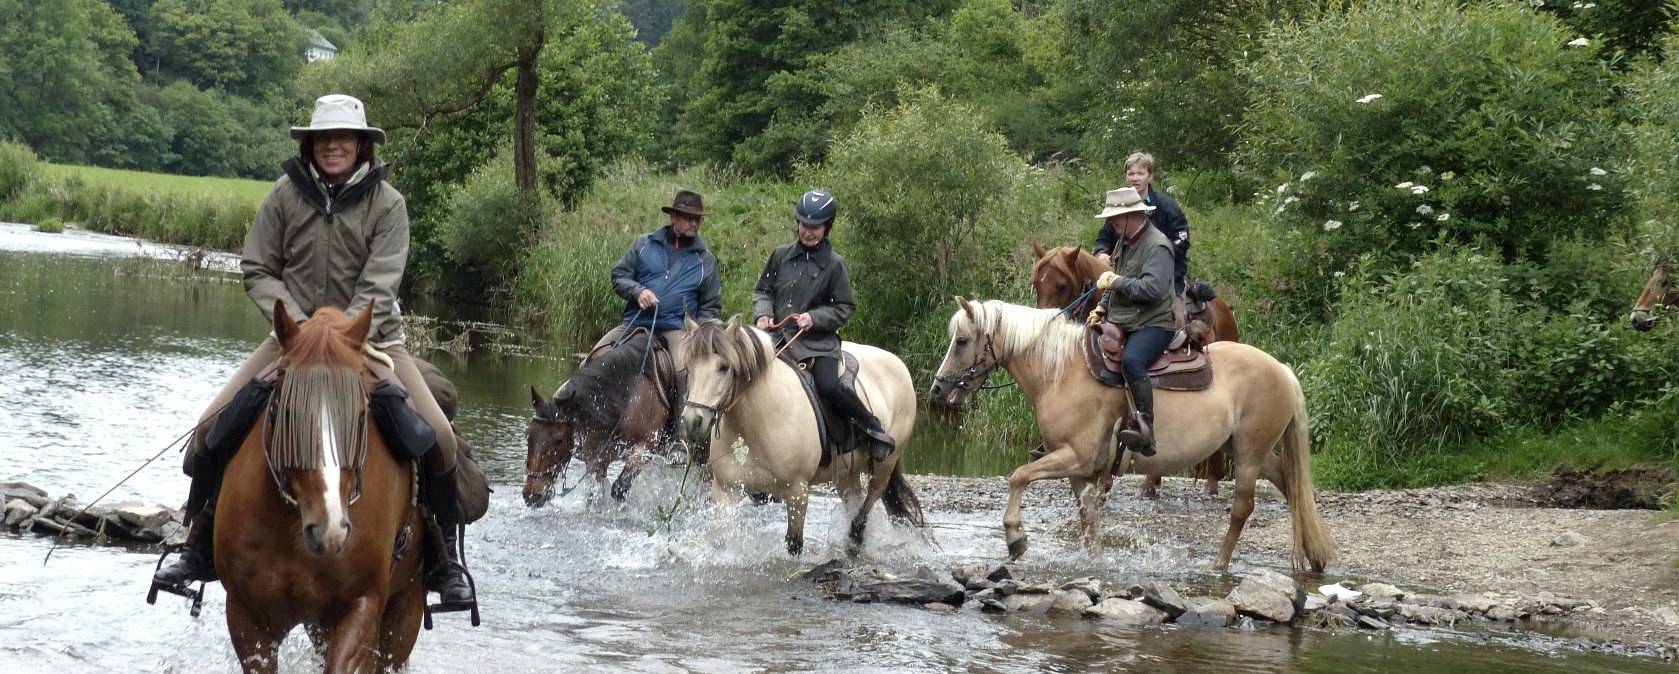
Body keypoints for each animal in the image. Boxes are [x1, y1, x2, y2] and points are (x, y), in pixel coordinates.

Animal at [209, 302, 429, 668]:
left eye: (360, 414)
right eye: (288, 411)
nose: (330, 530)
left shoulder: (361, 605)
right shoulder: (245, 615)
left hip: (404, 609)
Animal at [520, 327, 671, 507]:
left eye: (559, 440)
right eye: (528, 435)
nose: (531, 495)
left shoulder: (645, 448)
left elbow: (620, 488)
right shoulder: (597, 456)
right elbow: (596, 492)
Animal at [674, 314, 926, 551]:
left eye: (724, 367)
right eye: (688, 367)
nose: (692, 421)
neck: (756, 425)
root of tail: (897, 362)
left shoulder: (797, 493)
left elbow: (794, 543)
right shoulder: (725, 490)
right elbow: (721, 540)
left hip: (887, 460)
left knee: (873, 493)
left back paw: (856, 534)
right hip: (848, 472)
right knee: (853, 497)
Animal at [926, 297, 1329, 571]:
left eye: (962, 341)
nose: (937, 390)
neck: (1062, 373)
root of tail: (1281, 369)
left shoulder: (1075, 456)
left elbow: (1018, 476)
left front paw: (1016, 539)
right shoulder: (1080, 471)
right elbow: (1089, 521)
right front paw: (1095, 563)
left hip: (1248, 452)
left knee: (1243, 508)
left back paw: (1218, 564)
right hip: (1247, 451)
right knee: (1291, 485)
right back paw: (1315, 554)